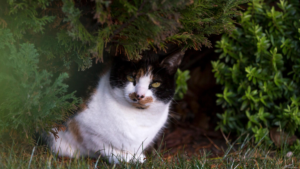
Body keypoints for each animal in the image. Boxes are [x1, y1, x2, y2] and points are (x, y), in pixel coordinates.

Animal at [45, 49, 184, 163]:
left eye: (155, 83)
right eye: (130, 77)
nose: (139, 95)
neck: (137, 117)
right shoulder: (84, 127)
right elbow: (104, 147)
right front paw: (132, 158)